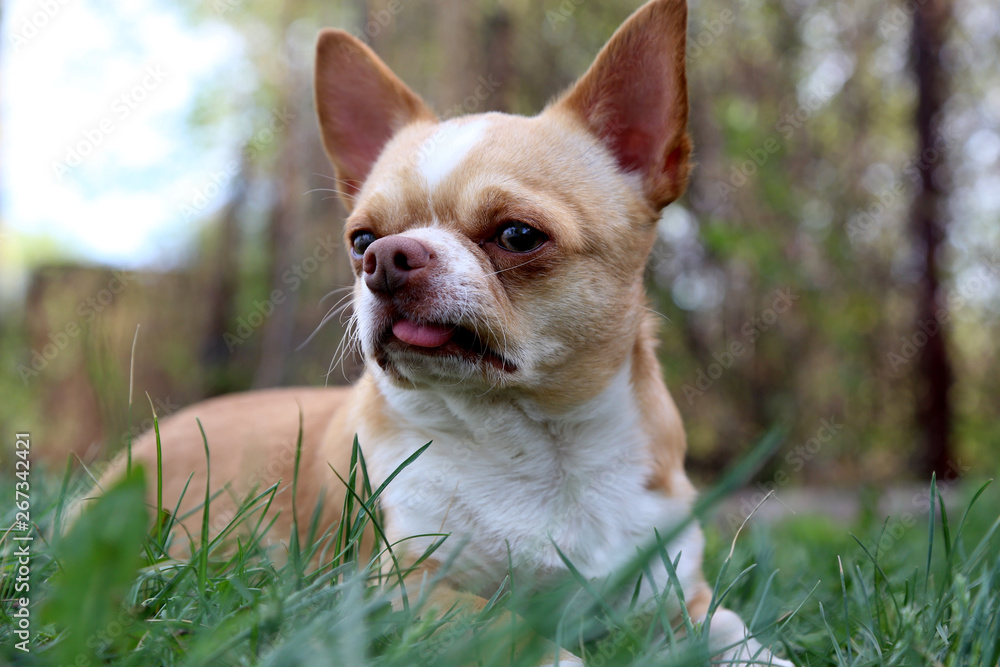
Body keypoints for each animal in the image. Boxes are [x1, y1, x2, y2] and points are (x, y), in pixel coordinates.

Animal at [95, 2, 796, 664]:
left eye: (518, 235)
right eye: (361, 240)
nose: (387, 258)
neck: (541, 451)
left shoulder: (679, 597)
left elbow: (736, 634)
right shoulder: (406, 588)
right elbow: (513, 629)